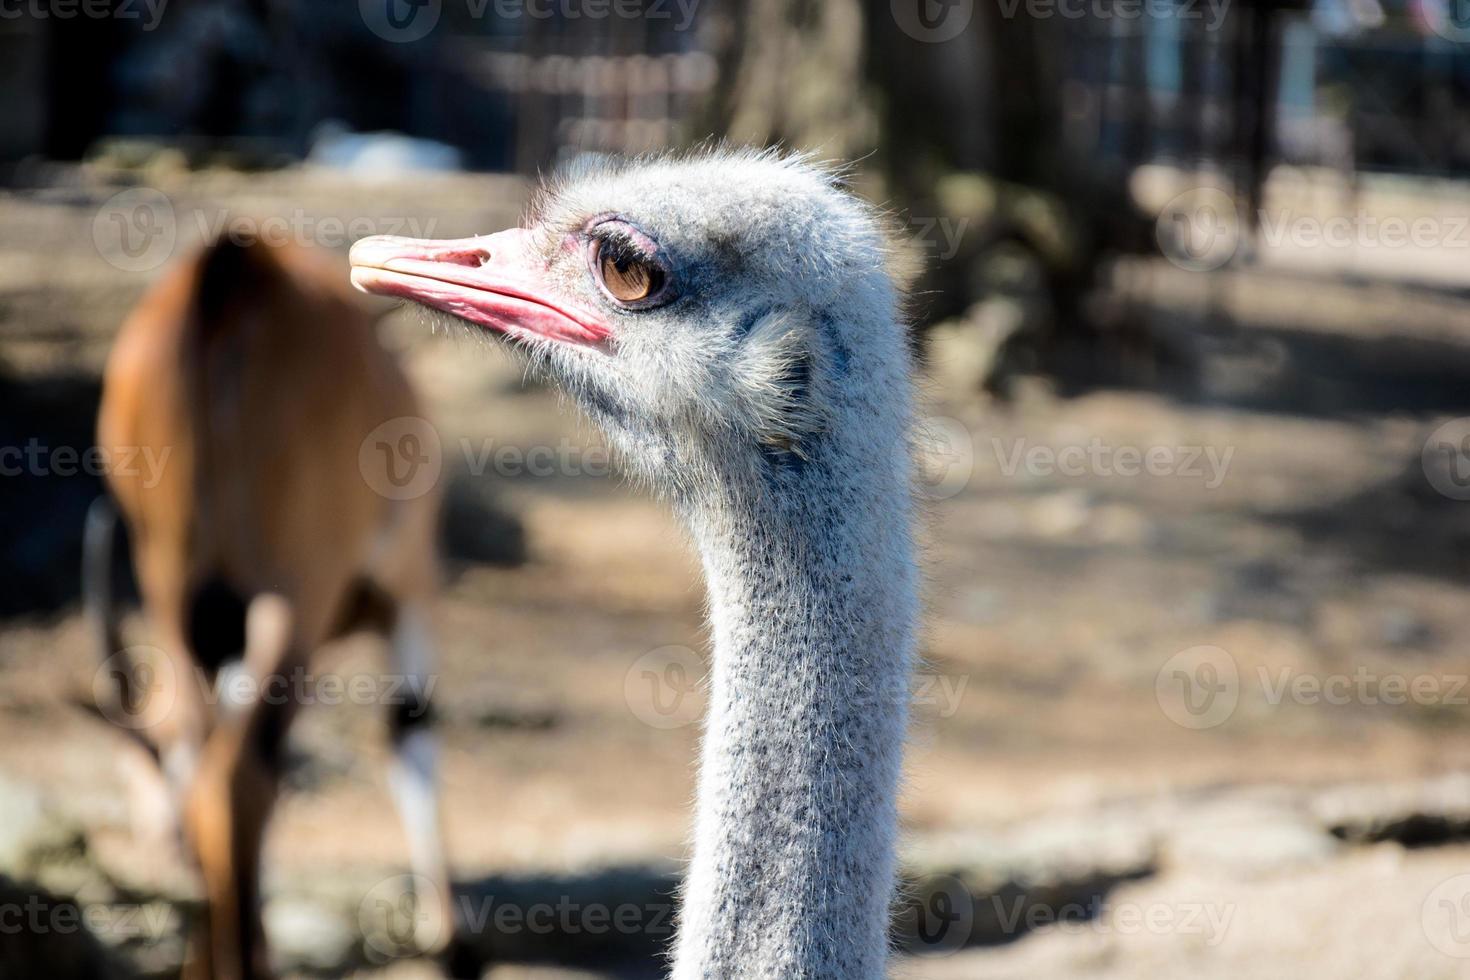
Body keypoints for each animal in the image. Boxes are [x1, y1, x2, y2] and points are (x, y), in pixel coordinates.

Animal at [86, 238, 452, 980]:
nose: (160, 851)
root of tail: (228, 270)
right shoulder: (409, 588)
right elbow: (412, 732)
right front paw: (452, 943)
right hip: (294, 599)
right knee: (241, 774)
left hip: (176, 595)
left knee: (210, 764)